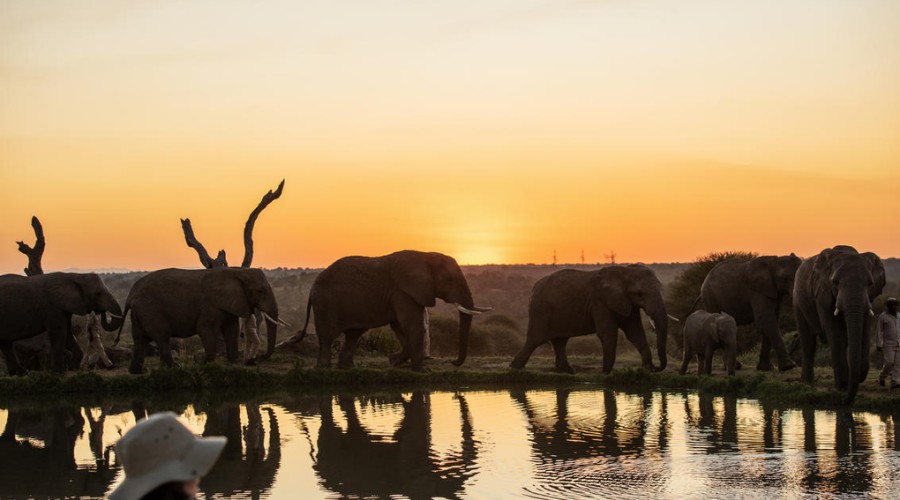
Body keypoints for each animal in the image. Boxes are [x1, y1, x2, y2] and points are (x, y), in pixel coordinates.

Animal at [116, 268, 284, 374]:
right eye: (260, 291)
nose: (260, 359)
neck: (237, 271)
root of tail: (131, 294)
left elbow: (231, 330)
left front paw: (232, 365)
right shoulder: (210, 304)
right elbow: (205, 329)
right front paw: (206, 365)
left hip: (139, 312)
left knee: (140, 339)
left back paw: (136, 372)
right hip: (150, 309)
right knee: (161, 337)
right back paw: (173, 368)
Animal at [298, 250, 488, 372]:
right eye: (449, 280)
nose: (453, 363)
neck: (426, 256)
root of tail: (312, 287)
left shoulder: (401, 293)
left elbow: (399, 325)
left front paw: (394, 362)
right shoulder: (402, 291)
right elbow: (411, 324)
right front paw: (422, 371)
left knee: (354, 334)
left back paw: (349, 368)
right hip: (326, 303)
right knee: (328, 336)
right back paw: (323, 368)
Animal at [510, 264, 672, 374]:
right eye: (639, 294)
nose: (656, 368)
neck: (624, 270)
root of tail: (534, 287)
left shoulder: (627, 303)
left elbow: (634, 333)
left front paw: (647, 369)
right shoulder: (600, 300)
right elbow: (607, 332)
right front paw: (605, 373)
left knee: (560, 341)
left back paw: (567, 371)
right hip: (541, 310)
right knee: (536, 340)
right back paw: (514, 367)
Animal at [796, 244, 884, 404]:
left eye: (870, 283)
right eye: (835, 282)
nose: (843, 401)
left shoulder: (868, 299)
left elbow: (864, 332)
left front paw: (857, 377)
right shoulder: (823, 295)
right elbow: (835, 333)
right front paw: (842, 386)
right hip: (798, 301)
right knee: (808, 343)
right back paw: (807, 383)